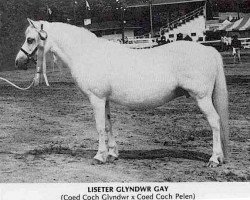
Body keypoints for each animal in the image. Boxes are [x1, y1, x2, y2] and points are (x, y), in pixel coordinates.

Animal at [15, 19, 229, 167]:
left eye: (30, 39)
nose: (18, 62)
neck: (88, 54)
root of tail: (209, 50)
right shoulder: (105, 100)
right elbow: (109, 125)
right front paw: (111, 154)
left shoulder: (96, 99)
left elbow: (100, 127)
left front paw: (99, 156)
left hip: (202, 98)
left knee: (215, 122)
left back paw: (214, 159)